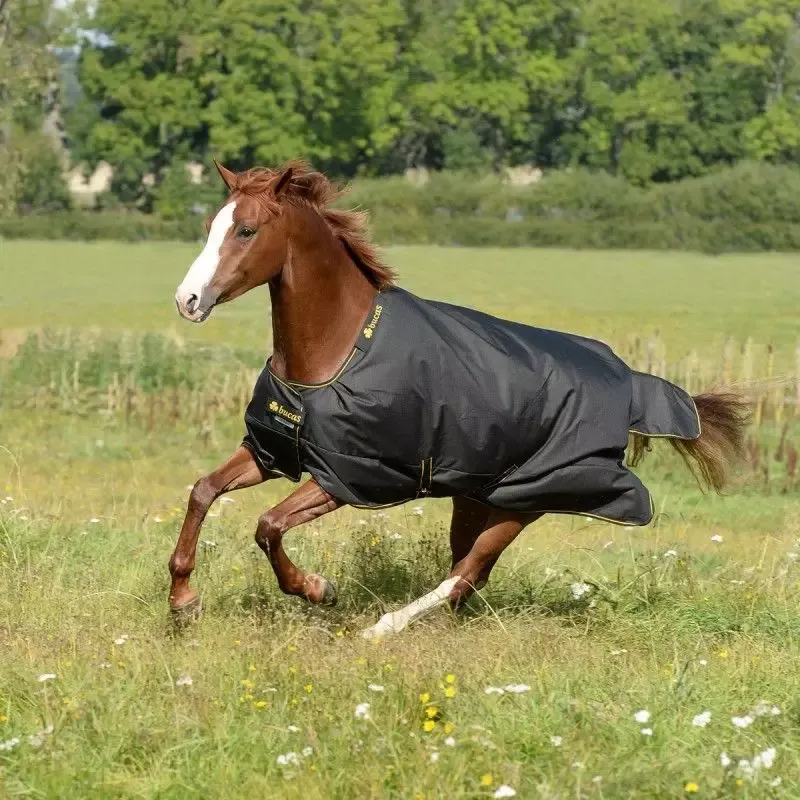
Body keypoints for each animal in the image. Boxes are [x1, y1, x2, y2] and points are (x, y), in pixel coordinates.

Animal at [169, 160, 749, 638]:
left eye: (246, 230)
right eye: (210, 226)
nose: (187, 300)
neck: (337, 350)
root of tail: (628, 383)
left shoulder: (347, 477)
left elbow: (268, 526)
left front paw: (318, 589)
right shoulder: (273, 452)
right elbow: (203, 491)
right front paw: (183, 600)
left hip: (523, 502)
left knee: (465, 575)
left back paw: (381, 628)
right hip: (476, 498)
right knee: (467, 574)